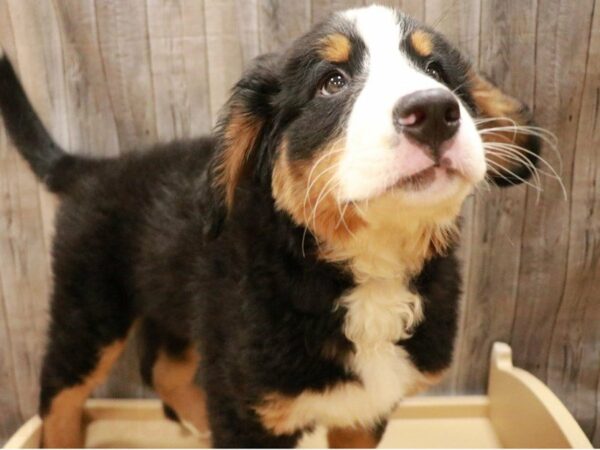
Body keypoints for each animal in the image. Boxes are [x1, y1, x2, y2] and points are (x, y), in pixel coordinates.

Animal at [0, 4, 540, 450]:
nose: (433, 111)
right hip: (90, 307)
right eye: (332, 82)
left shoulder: (364, 409)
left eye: (435, 71)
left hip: (182, 307)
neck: (372, 268)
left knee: (161, 370)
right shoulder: (248, 410)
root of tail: (91, 167)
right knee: (59, 393)